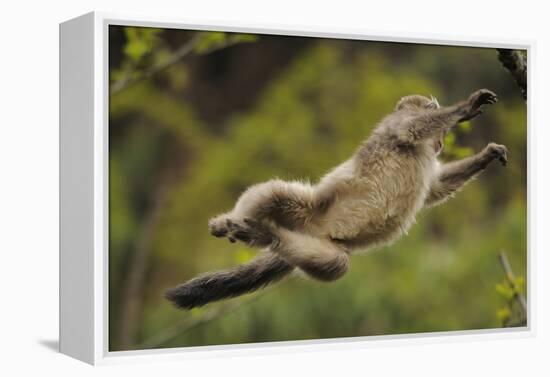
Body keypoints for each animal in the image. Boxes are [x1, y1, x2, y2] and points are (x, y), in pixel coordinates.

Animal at [166, 88, 512, 308]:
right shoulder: (395, 126)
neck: (423, 152)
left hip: (318, 244)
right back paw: (233, 222)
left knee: (334, 264)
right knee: (275, 194)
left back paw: (264, 235)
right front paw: (465, 109)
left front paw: (486, 156)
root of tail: (311, 230)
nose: (440, 143)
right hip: (311, 210)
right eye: (441, 132)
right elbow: (410, 128)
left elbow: (436, 188)